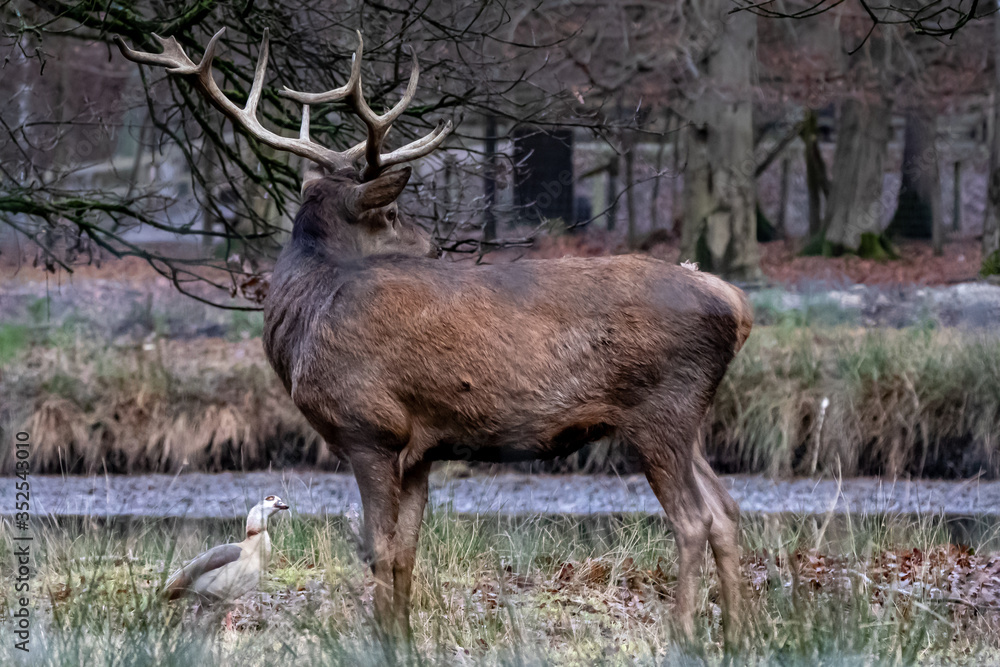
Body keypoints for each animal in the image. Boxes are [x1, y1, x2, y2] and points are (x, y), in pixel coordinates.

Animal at [117, 27, 752, 647]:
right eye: (394, 213)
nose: (436, 247)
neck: (306, 318)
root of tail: (736, 303)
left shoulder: (367, 426)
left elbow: (377, 548)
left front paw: (380, 640)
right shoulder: (421, 445)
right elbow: (405, 551)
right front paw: (402, 638)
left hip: (660, 409)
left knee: (693, 519)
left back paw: (684, 634)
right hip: (686, 419)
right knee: (725, 510)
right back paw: (739, 632)